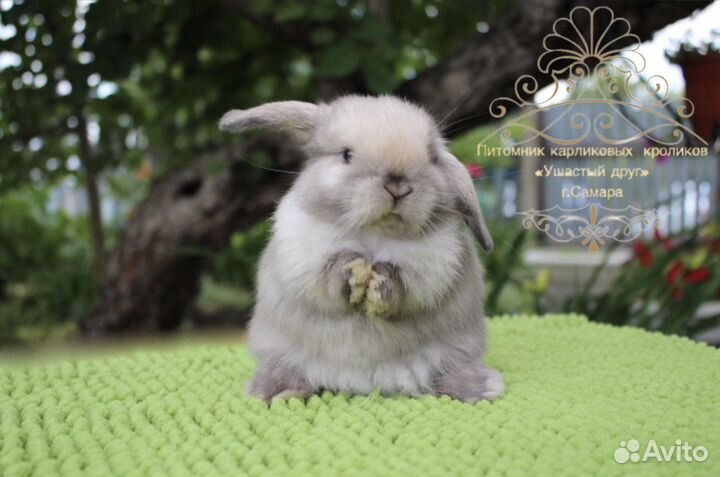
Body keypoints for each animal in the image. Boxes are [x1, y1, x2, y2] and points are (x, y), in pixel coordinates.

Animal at [219, 95, 504, 403]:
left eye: (430, 156)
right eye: (346, 154)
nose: (398, 186)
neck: (373, 234)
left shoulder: (435, 265)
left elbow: (406, 285)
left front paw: (379, 282)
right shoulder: (302, 254)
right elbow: (327, 279)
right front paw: (353, 272)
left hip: (457, 350)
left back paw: (479, 389)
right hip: (279, 351)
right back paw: (276, 393)